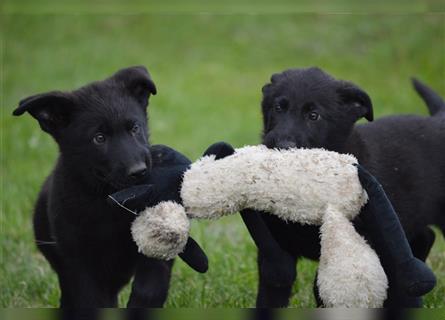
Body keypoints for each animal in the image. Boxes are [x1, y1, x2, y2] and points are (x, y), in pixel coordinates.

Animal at [14, 65, 208, 308]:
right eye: (99, 138)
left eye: (135, 128)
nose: (139, 171)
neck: (109, 200)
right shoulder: (77, 261)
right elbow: (89, 299)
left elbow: (151, 284)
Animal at [243, 67, 444, 308]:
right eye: (278, 107)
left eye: (314, 116)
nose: (281, 146)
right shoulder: (275, 247)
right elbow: (273, 288)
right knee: (425, 236)